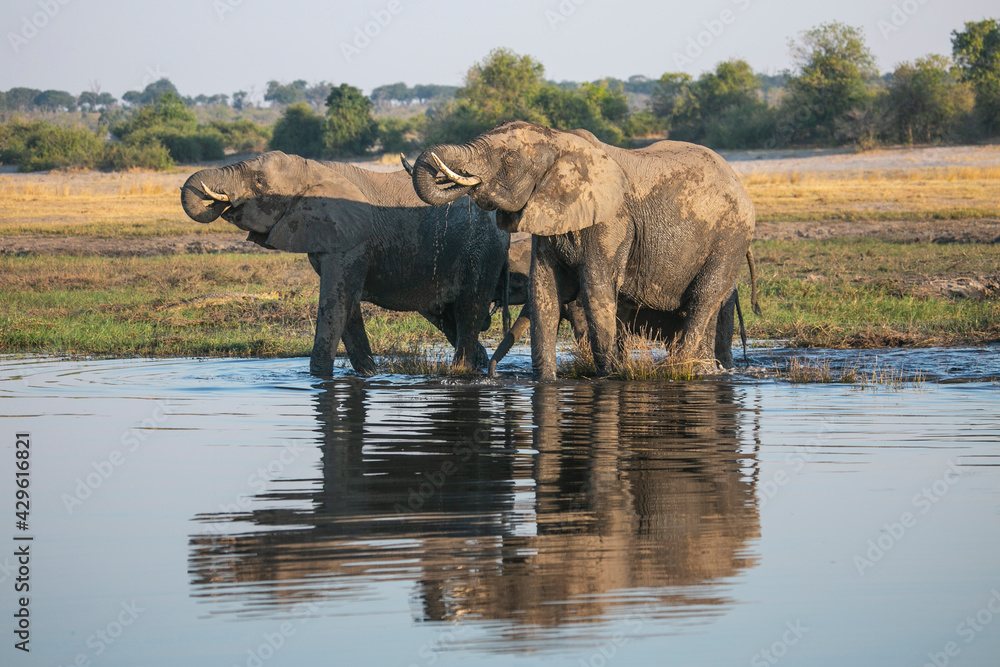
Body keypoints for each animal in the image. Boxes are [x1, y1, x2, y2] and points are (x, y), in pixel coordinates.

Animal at [180, 151, 510, 376]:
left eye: (259, 182)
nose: (218, 198)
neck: (312, 168)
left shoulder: (351, 240)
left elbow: (334, 303)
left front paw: (318, 378)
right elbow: (346, 306)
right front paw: (369, 375)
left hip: (482, 250)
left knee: (469, 312)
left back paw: (463, 373)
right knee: (446, 318)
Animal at [410, 121, 759, 380]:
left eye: (508, 160)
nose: (492, 375)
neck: (560, 142)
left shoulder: (613, 221)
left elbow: (596, 290)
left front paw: (613, 376)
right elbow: (545, 294)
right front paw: (546, 380)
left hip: (730, 239)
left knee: (703, 299)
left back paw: (674, 371)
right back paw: (703, 371)